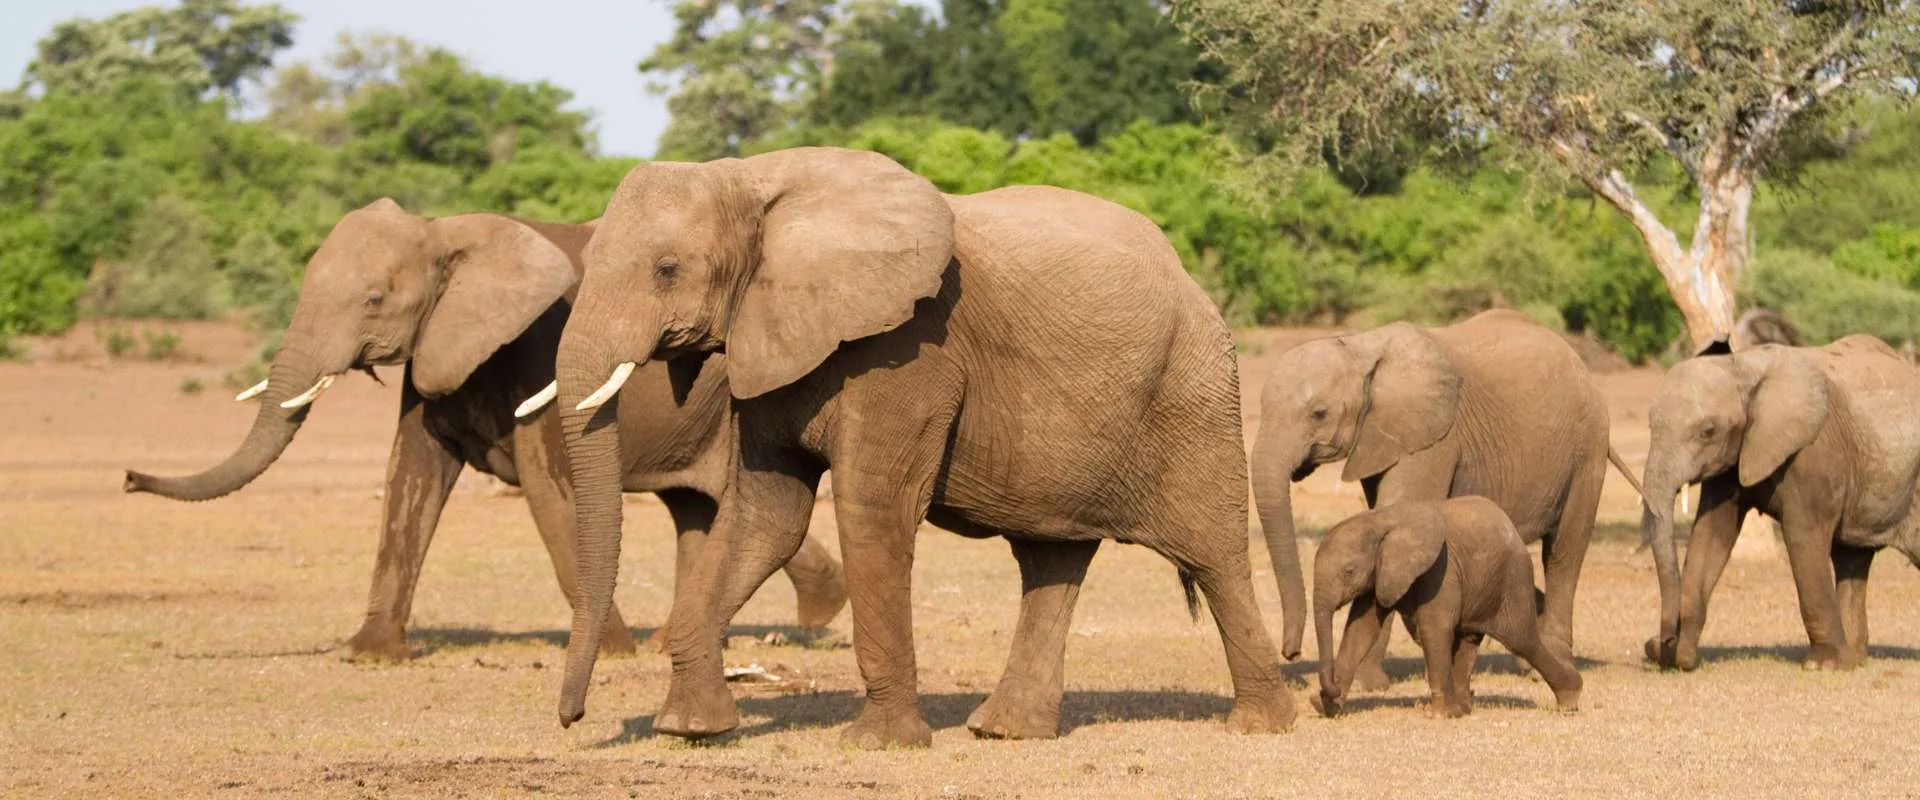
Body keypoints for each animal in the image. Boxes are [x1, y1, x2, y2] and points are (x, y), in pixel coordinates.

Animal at [123, 198, 847, 661]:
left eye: (374, 300)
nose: (129, 477)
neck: (445, 234)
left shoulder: (536, 350)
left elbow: (550, 493)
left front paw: (610, 653)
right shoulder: (437, 348)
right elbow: (409, 477)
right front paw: (369, 655)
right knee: (693, 507)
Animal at [518, 146, 1297, 748]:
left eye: (668, 269)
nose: (570, 719)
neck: (758, 179)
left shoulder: (910, 350)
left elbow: (874, 510)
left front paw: (878, 743)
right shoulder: (769, 341)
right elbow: (764, 518)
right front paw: (689, 730)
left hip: (1195, 391)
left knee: (1214, 554)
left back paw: (1259, 726)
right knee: (1051, 561)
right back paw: (1005, 732)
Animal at [1252, 309, 1638, 689]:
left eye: (1319, 413)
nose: (1291, 653)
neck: (1362, 347)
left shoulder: (1434, 439)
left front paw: (1367, 684)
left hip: (1588, 445)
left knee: (1563, 552)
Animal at [1309, 497, 1582, 719]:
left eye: (1349, 571)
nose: (1325, 690)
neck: (1379, 520)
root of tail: (1511, 527)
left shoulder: (1441, 570)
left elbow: (1434, 629)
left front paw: (1439, 715)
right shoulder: (1380, 574)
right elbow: (1360, 631)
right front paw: (1326, 707)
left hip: (1512, 578)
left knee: (1523, 640)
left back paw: (1570, 699)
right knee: (1470, 640)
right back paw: (1462, 709)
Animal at [1640, 336, 1920, 671]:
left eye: (1708, 431)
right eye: (1650, 426)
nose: (1662, 642)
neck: (1744, 366)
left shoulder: (1814, 450)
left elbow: (1802, 538)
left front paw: (1821, 666)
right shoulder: (1733, 458)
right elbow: (1710, 535)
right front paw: (1682, 658)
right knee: (1852, 559)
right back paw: (1853, 661)